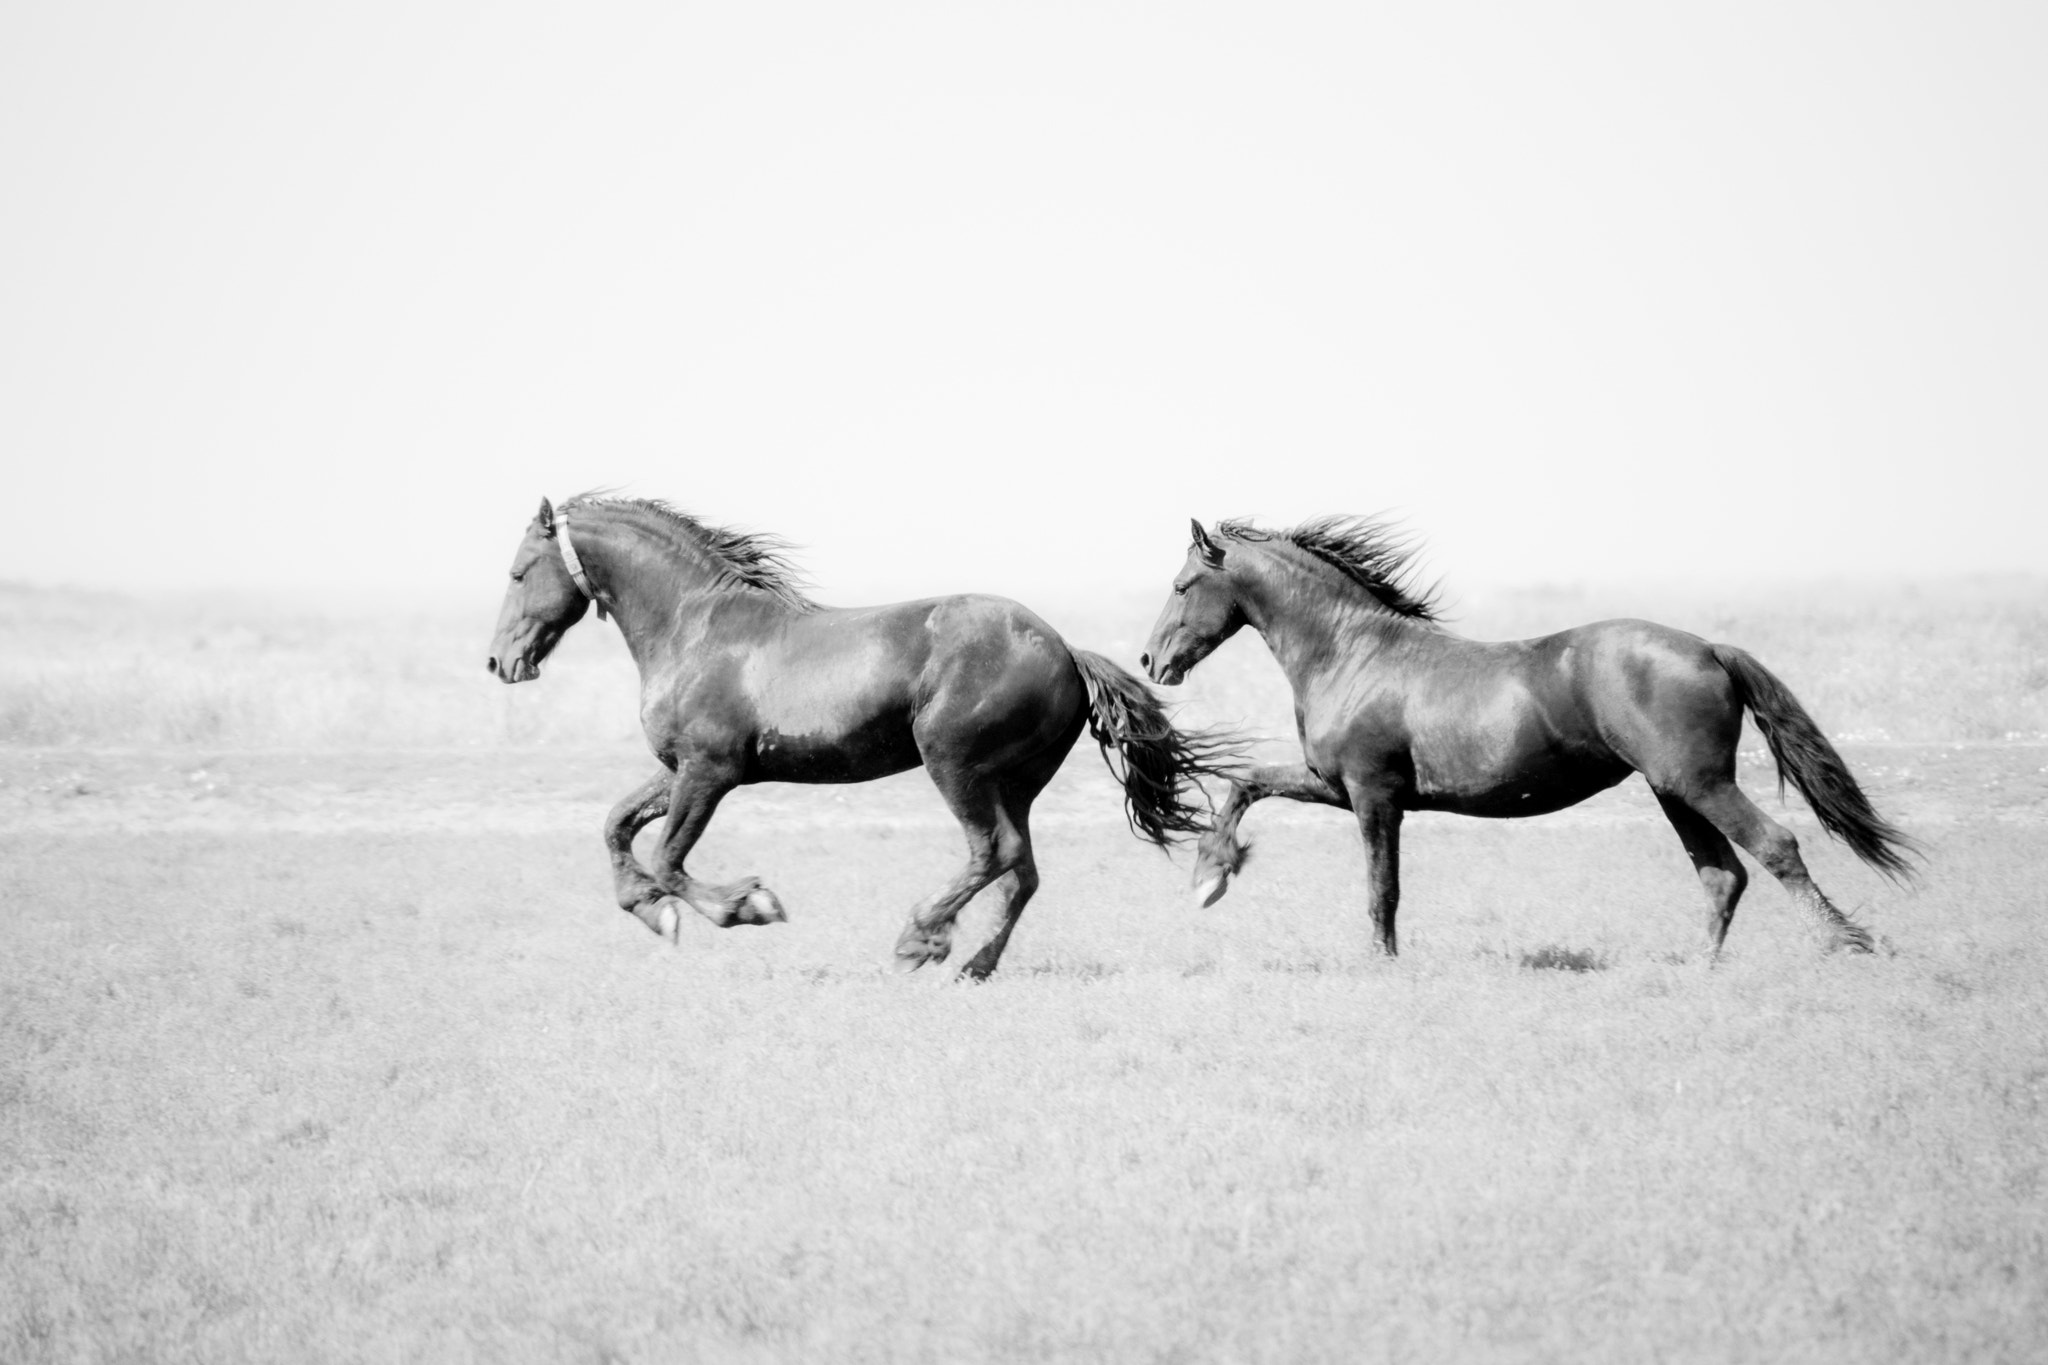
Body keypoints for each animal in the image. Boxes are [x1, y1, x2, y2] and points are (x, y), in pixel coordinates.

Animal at [487, 497, 1236, 978]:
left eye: (519, 572)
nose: (500, 661)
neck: (694, 628)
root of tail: (1065, 649)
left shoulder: (709, 771)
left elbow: (669, 858)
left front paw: (748, 905)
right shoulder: (678, 769)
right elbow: (616, 826)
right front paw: (650, 913)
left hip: (953, 762)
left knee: (993, 852)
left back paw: (919, 940)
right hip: (1013, 780)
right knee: (1020, 869)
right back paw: (973, 962)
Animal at [1146, 517, 1908, 957]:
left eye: (1182, 585)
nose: (1153, 661)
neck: (1351, 653)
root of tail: (1709, 648)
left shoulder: (1373, 795)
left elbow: (1381, 889)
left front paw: (1383, 963)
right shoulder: (1333, 785)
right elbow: (1245, 783)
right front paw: (1210, 875)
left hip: (1700, 784)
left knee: (1775, 848)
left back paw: (1845, 943)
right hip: (1675, 791)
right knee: (1723, 876)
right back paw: (1704, 971)